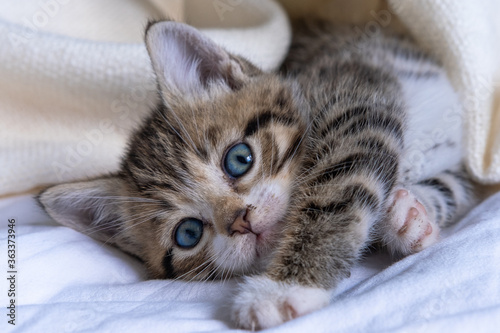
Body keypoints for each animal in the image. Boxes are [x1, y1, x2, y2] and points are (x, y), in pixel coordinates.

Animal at [38, 19, 472, 328]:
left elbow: (337, 190)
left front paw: (281, 290)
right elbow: (447, 186)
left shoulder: (354, 96)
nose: (241, 222)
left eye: (239, 159)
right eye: (188, 234)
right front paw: (410, 219)